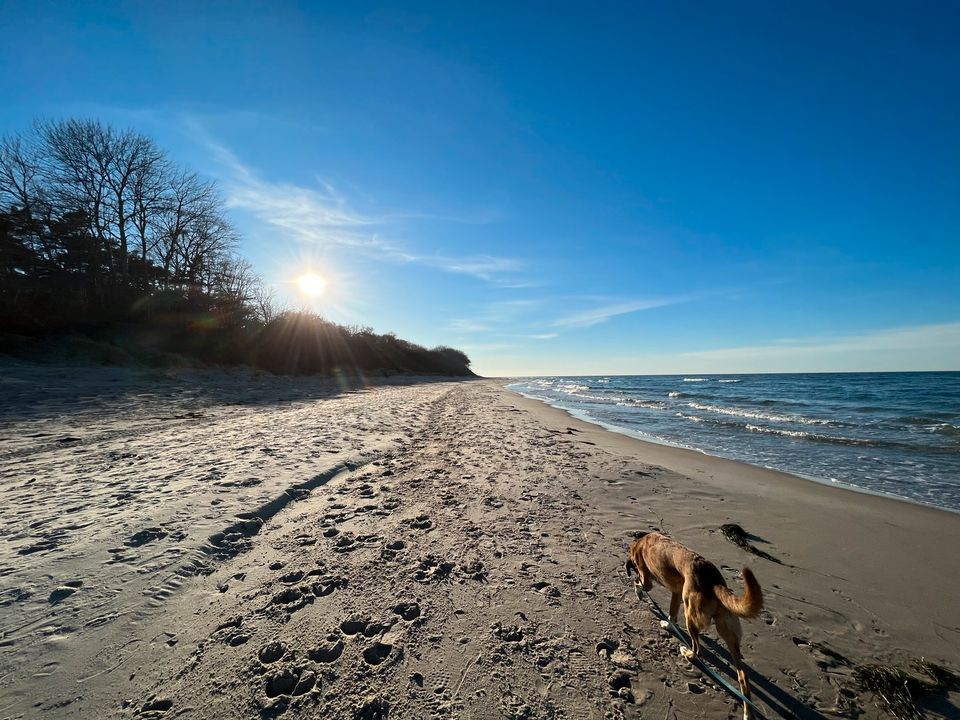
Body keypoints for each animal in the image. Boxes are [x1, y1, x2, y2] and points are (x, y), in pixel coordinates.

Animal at [624, 532, 764, 716]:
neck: (641, 543)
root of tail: (713, 581)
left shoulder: (647, 579)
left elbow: (639, 584)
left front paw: (638, 592)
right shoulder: (676, 592)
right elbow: (672, 614)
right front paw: (668, 624)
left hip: (689, 611)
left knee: (697, 649)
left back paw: (687, 653)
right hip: (728, 631)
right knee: (743, 676)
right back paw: (747, 712)